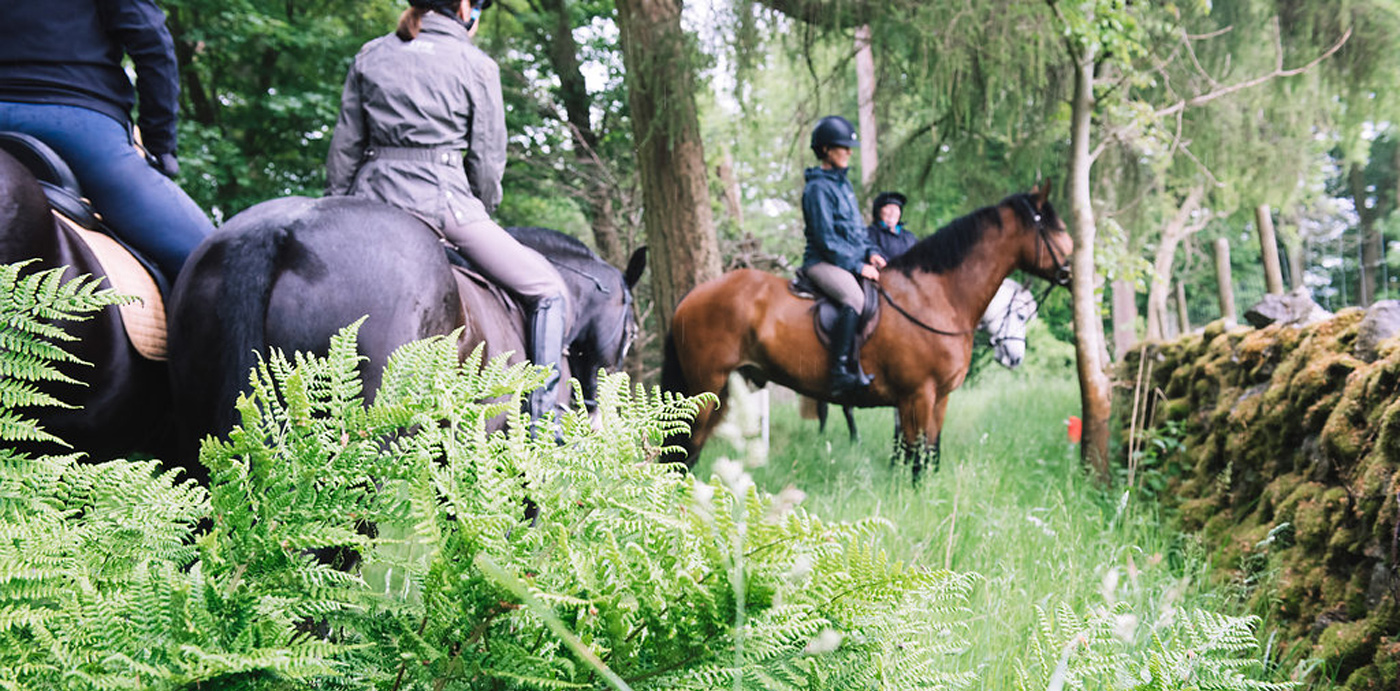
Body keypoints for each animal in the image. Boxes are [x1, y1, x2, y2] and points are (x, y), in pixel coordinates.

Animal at [663, 184, 1069, 475]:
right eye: (1053, 227)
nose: (1070, 270)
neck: (934, 297)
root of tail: (691, 297)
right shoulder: (918, 395)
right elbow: (916, 458)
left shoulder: (938, 399)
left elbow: (930, 453)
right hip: (706, 387)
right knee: (684, 451)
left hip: (723, 391)